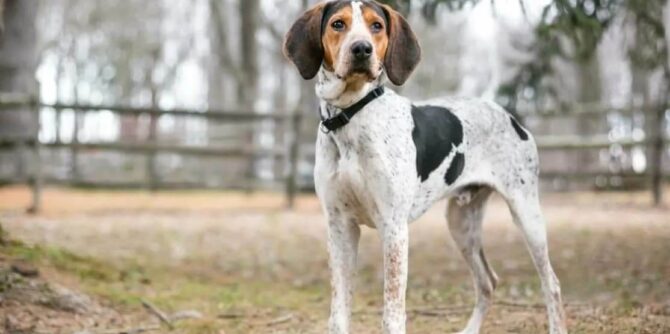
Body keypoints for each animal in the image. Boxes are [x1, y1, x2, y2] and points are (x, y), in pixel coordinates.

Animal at [282, 1, 568, 332]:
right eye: (337, 24)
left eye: (377, 25)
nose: (362, 49)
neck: (352, 115)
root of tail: (511, 117)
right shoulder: (340, 225)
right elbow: (338, 314)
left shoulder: (394, 227)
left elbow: (392, 314)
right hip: (461, 224)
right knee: (488, 282)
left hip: (526, 214)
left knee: (551, 283)